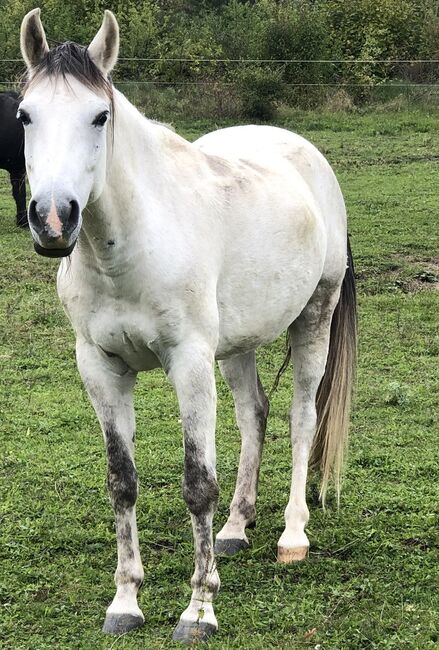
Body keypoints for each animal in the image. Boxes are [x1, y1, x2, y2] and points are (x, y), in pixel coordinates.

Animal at [19, 8, 358, 644]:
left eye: (99, 116)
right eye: (25, 115)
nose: (53, 218)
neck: (129, 248)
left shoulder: (188, 363)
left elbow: (198, 484)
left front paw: (199, 611)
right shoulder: (99, 367)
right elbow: (122, 482)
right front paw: (126, 602)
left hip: (313, 320)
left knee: (302, 418)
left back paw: (292, 536)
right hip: (237, 346)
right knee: (255, 415)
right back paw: (235, 529)